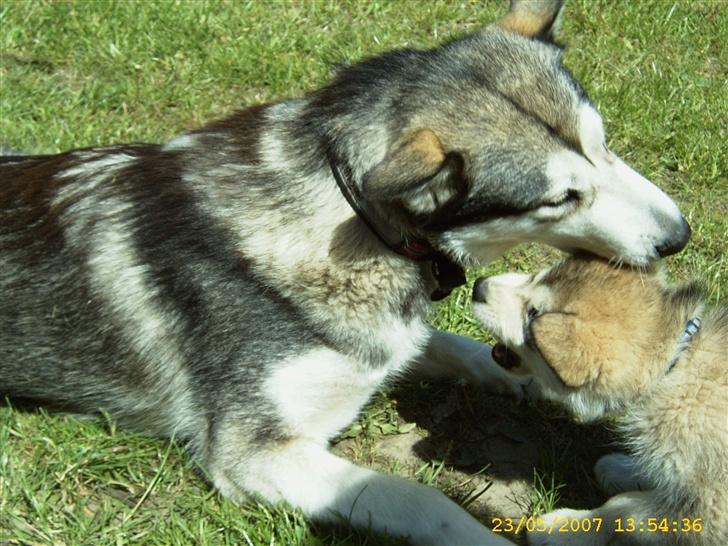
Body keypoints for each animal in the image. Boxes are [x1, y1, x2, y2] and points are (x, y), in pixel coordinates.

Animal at [472, 256, 728, 544]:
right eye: (535, 276)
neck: (673, 364)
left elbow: (623, 509)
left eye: (533, 314)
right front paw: (628, 470)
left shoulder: (710, 512)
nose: (478, 286)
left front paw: (565, 528)